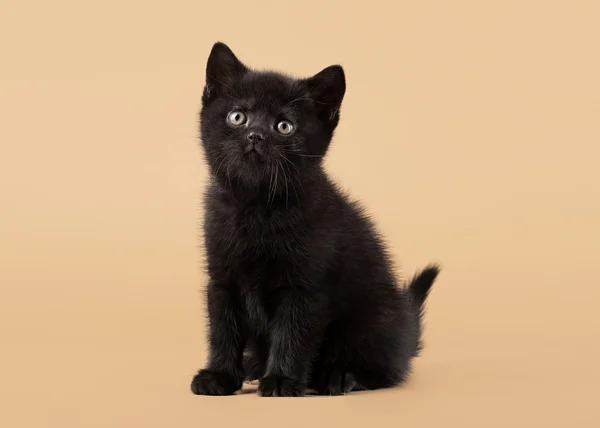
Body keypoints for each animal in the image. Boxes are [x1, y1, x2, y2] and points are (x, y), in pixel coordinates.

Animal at [192, 43, 440, 398]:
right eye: (237, 116)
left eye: (284, 126)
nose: (255, 136)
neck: (257, 206)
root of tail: (407, 327)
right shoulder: (222, 277)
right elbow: (223, 328)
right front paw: (220, 375)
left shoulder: (306, 284)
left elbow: (292, 332)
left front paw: (281, 380)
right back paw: (254, 367)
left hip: (374, 318)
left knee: (385, 367)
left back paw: (339, 377)